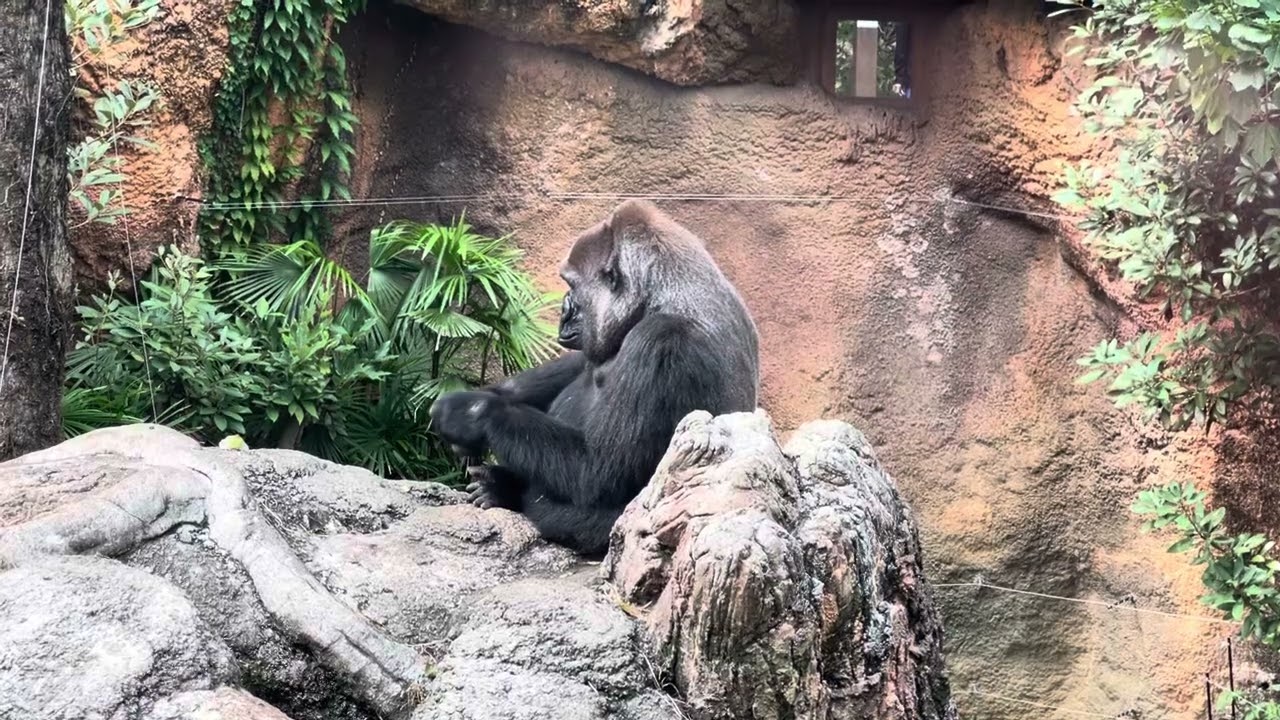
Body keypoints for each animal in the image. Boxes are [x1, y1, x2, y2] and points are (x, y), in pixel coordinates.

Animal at [428, 199, 760, 557]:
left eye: (572, 285)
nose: (563, 309)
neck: (660, 296)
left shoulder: (661, 342)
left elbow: (600, 472)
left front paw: (474, 413)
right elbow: (580, 363)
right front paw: (484, 399)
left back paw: (508, 489)